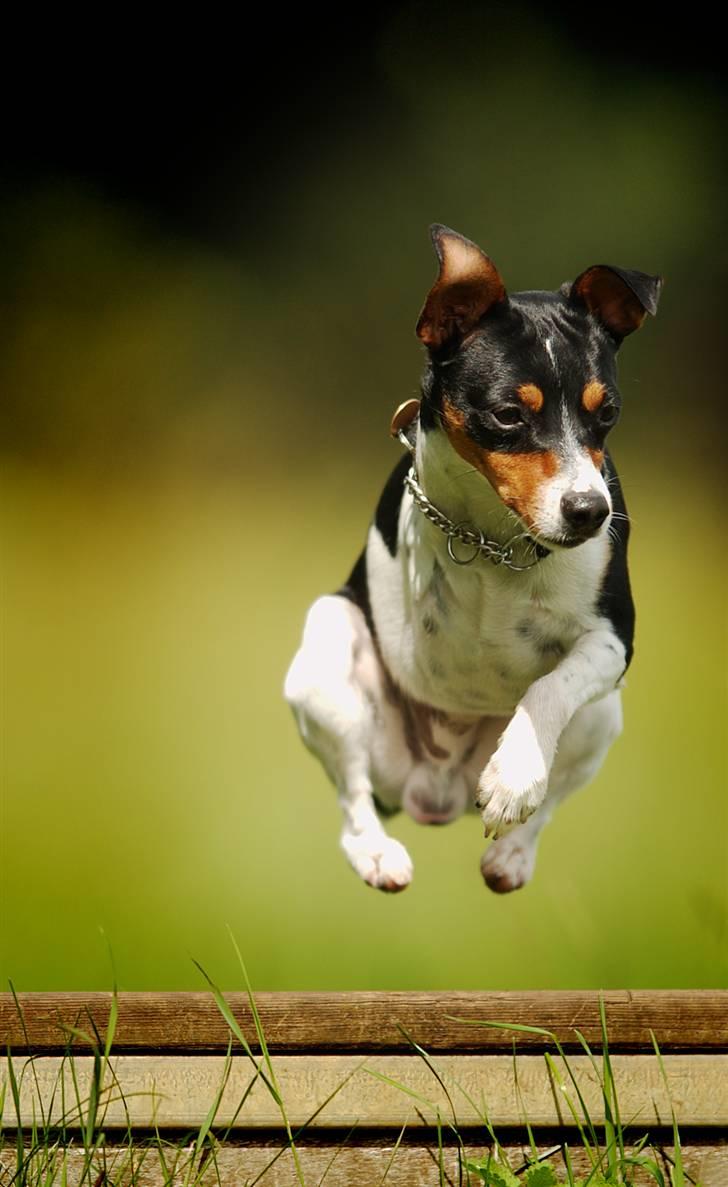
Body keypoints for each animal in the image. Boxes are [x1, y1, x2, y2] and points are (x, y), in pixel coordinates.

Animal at [283, 224, 660, 892]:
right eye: (508, 414)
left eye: (607, 411)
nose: (590, 511)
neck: (498, 538)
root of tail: (437, 789)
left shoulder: (615, 640)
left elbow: (551, 687)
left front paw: (516, 777)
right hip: (329, 654)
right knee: (353, 798)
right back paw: (377, 853)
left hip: (603, 715)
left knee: (551, 798)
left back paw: (512, 853)